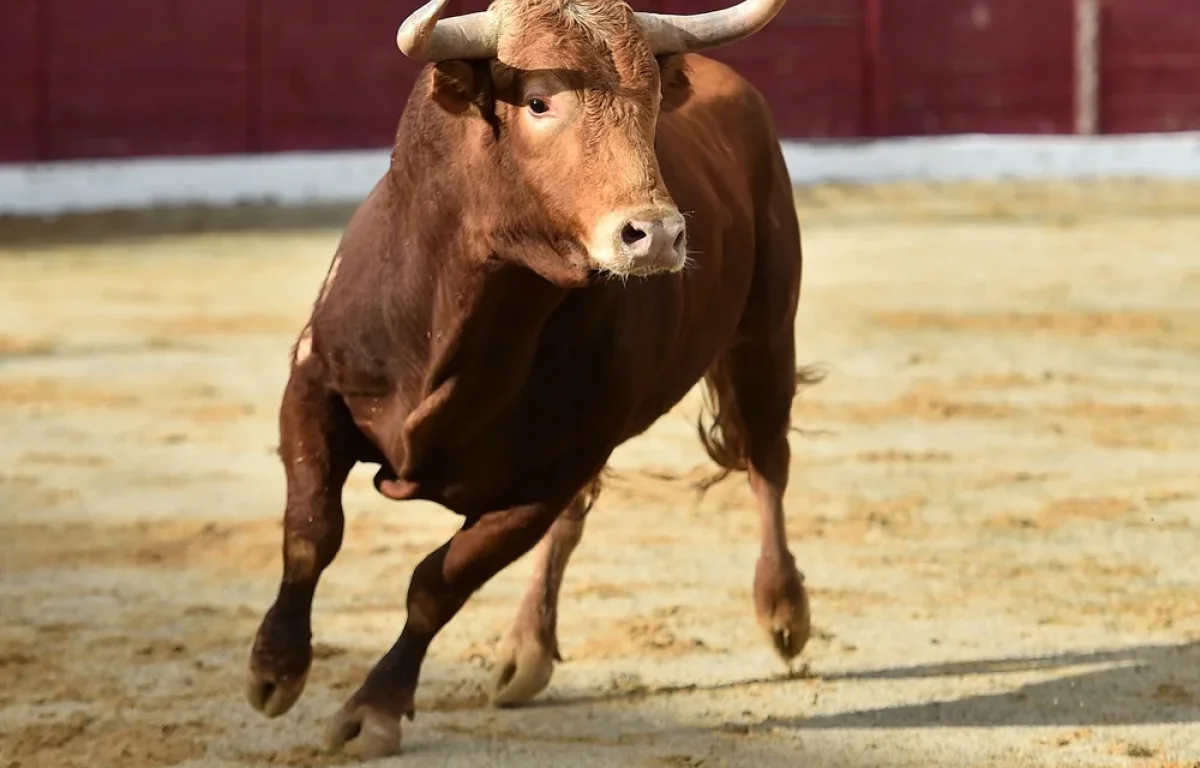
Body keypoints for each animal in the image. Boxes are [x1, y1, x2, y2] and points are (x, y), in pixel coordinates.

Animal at [247, 0, 820, 758]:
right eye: (539, 101)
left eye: (652, 102)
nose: (657, 235)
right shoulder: (314, 387)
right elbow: (312, 530)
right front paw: (274, 668)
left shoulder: (545, 477)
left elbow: (438, 582)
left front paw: (374, 710)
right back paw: (527, 650)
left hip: (765, 331)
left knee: (766, 463)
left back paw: (783, 610)